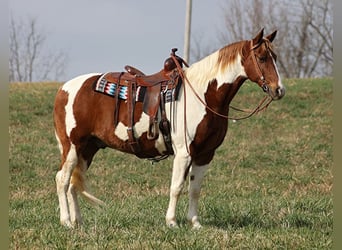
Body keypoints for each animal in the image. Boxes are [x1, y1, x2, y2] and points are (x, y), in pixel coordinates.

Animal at [52, 27, 284, 229]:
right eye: (262, 58)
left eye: (275, 57)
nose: (278, 90)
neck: (203, 95)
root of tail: (64, 89)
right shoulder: (183, 153)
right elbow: (176, 187)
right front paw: (171, 222)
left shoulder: (205, 154)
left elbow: (195, 189)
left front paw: (195, 223)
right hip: (72, 147)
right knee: (62, 179)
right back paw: (66, 222)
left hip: (87, 149)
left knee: (73, 183)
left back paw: (78, 222)